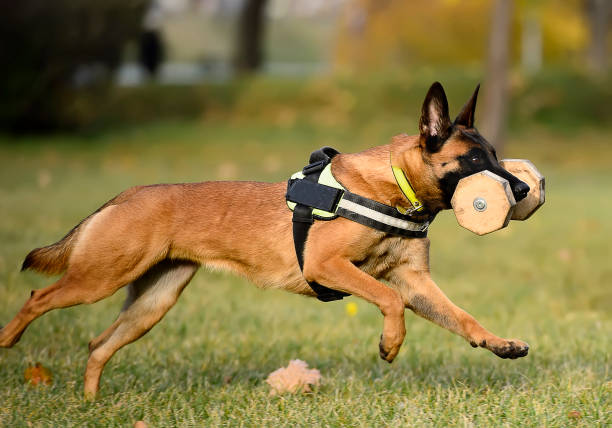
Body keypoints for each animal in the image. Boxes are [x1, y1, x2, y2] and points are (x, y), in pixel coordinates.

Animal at [0, 83, 532, 398]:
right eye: (474, 160)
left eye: (496, 155)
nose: (525, 190)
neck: (393, 188)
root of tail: (127, 194)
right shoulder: (328, 267)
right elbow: (389, 301)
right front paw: (390, 344)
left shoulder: (416, 282)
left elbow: (461, 317)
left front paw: (498, 342)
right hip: (98, 279)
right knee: (37, 297)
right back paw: (8, 340)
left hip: (151, 303)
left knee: (97, 345)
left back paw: (89, 402)